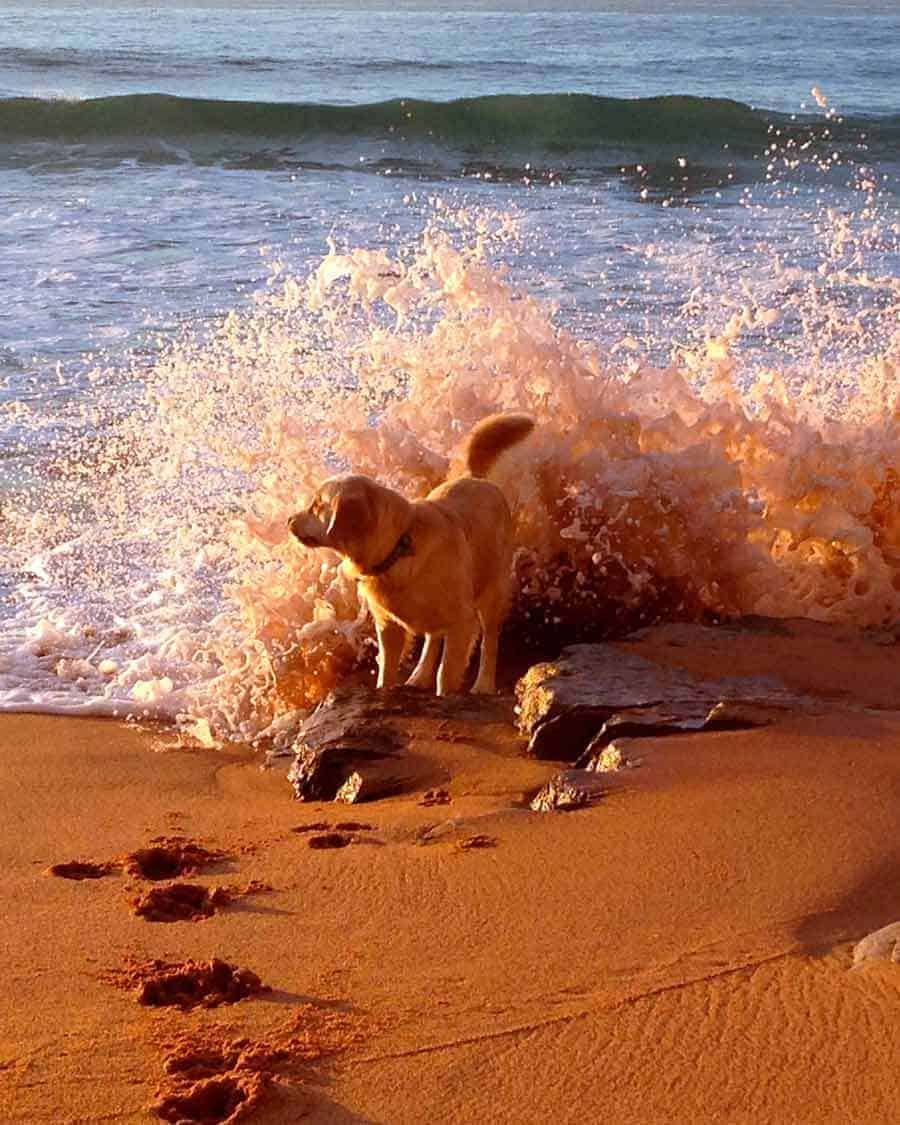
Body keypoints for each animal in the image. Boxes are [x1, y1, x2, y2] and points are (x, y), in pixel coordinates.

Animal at [288, 414, 531, 693]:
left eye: (318, 506)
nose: (289, 520)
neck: (397, 548)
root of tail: (475, 478)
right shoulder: (388, 625)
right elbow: (386, 668)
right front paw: (386, 688)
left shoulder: (461, 621)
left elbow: (446, 673)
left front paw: (444, 692)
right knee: (433, 637)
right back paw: (419, 675)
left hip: (493, 589)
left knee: (489, 639)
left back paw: (483, 685)